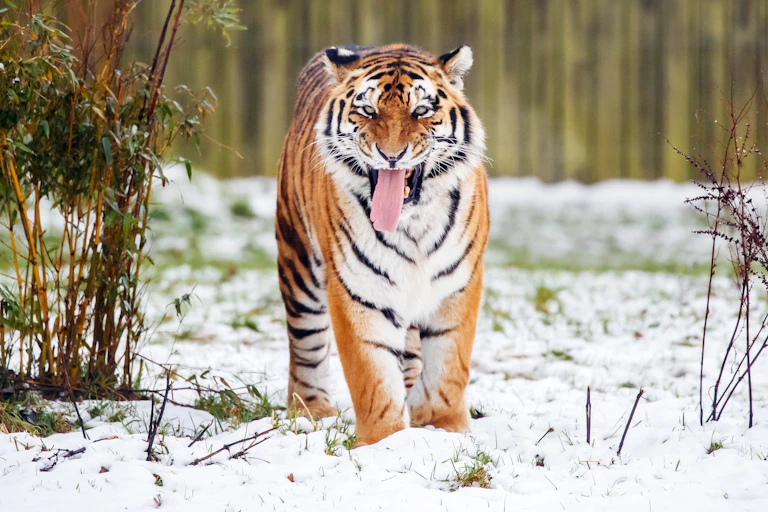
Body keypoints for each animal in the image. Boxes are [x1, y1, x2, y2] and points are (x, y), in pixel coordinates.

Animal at [275, 43, 489, 446]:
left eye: (421, 110)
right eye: (367, 110)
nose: (392, 155)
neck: (412, 223)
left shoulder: (458, 284)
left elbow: (448, 365)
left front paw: (443, 426)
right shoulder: (358, 289)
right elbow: (373, 375)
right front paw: (384, 442)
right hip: (298, 264)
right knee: (306, 344)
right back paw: (312, 410)